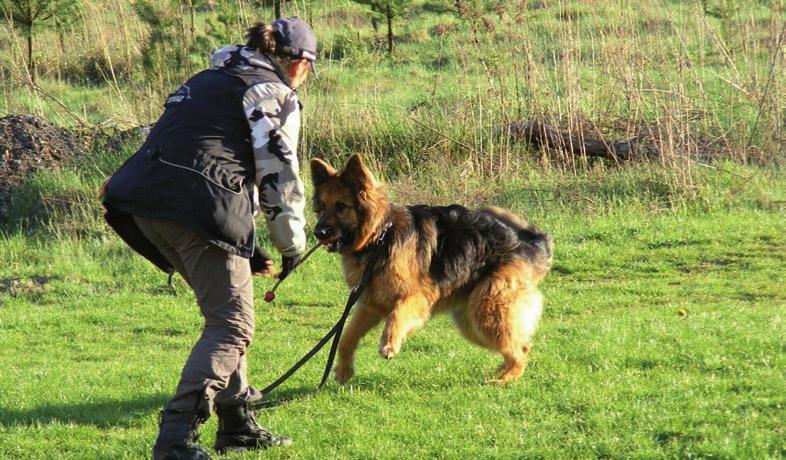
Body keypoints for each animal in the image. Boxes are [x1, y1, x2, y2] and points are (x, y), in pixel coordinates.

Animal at [308, 155, 552, 384]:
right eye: (322, 208)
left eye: (341, 206)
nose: (318, 232)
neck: (381, 237)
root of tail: (531, 242)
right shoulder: (370, 305)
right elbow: (346, 337)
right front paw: (343, 370)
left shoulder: (416, 296)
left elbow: (396, 315)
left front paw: (390, 343)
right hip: (472, 321)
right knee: (518, 345)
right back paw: (502, 371)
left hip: (488, 310)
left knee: (521, 349)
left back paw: (504, 380)